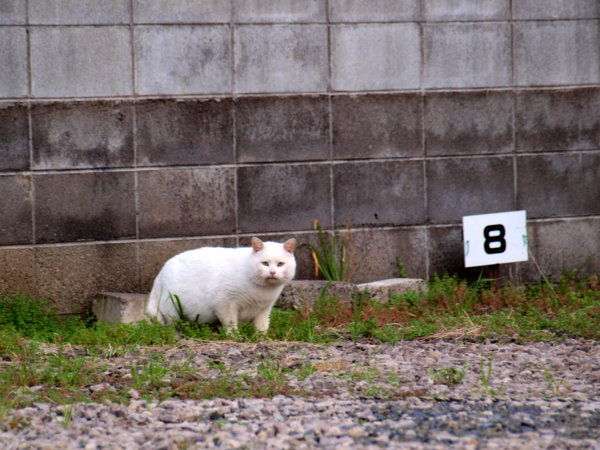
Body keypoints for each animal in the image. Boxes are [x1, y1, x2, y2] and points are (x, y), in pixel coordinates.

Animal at [146, 237, 296, 333]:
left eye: (280, 264)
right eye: (265, 263)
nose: (272, 272)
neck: (263, 290)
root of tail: (159, 275)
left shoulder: (264, 310)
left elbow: (262, 327)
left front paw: (261, 339)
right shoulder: (225, 303)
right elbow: (231, 324)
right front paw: (236, 338)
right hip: (172, 311)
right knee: (173, 328)